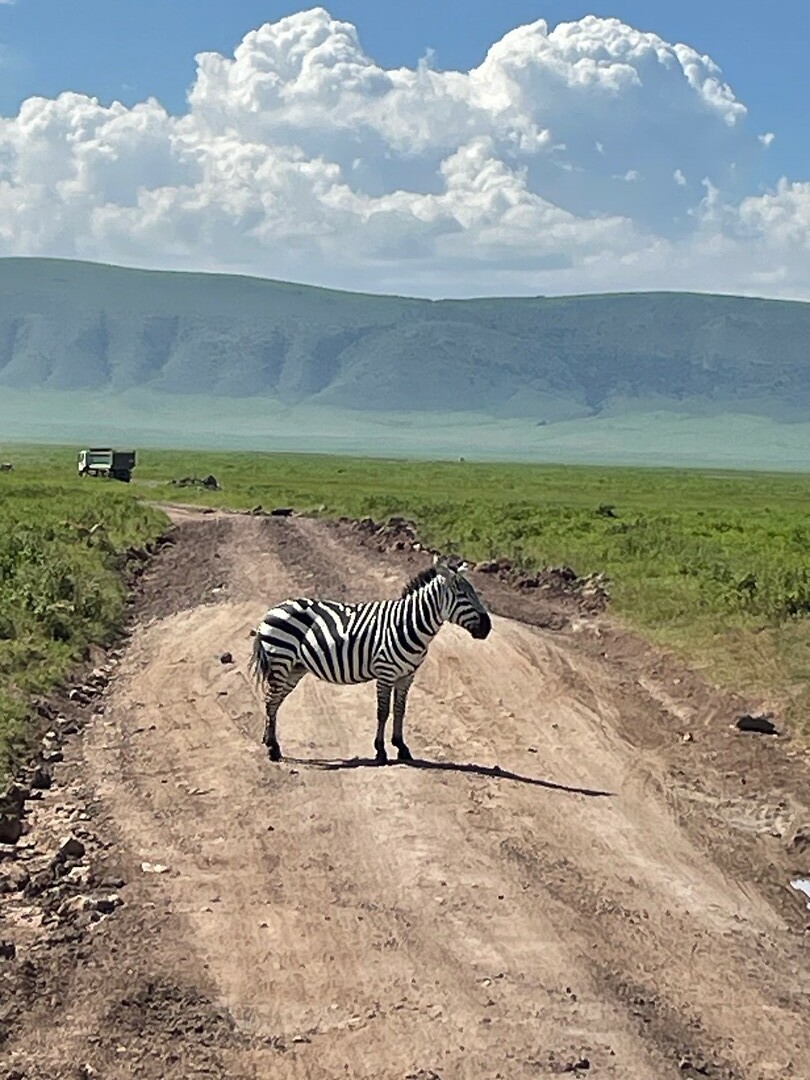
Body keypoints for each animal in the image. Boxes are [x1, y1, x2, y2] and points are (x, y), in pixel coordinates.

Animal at [249, 556, 491, 764]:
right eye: (461, 594)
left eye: (474, 592)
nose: (487, 627)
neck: (408, 625)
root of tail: (273, 609)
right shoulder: (386, 672)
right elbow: (382, 712)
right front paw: (381, 751)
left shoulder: (407, 676)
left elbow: (400, 709)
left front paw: (401, 747)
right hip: (280, 660)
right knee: (270, 700)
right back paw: (272, 749)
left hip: (294, 668)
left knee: (275, 702)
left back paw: (270, 742)